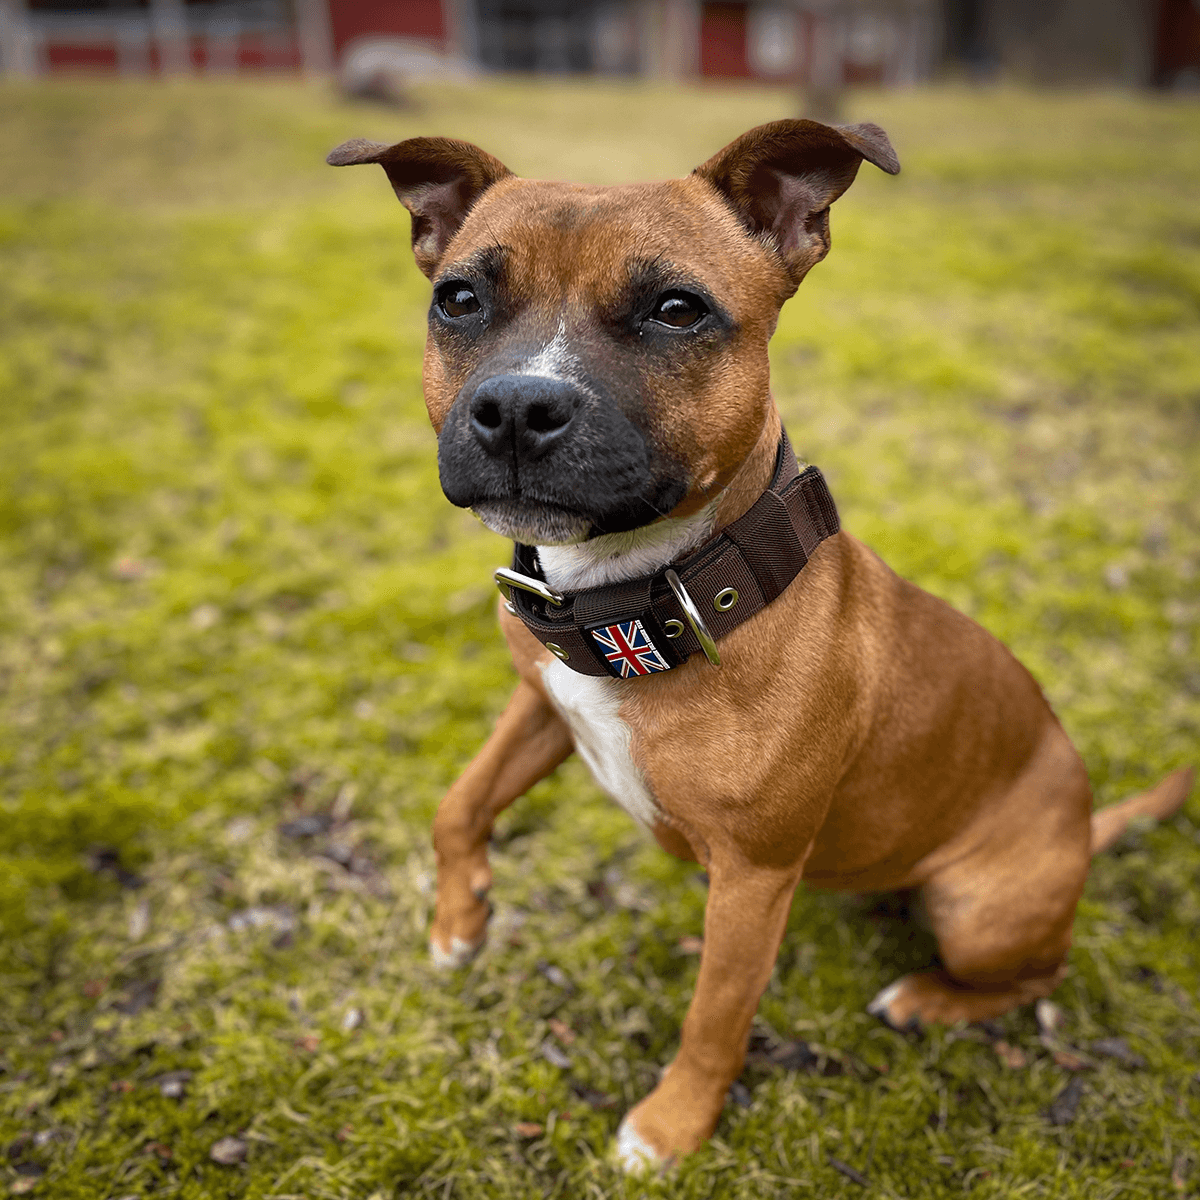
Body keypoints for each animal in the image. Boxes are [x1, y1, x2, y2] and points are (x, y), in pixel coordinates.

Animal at [326, 117, 1190, 1166]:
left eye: (676, 309)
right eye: (458, 299)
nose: (519, 406)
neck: (645, 602)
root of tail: (1082, 827)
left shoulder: (751, 880)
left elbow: (715, 1016)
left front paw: (668, 1129)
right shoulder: (545, 701)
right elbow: (457, 806)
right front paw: (460, 921)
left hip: (982, 913)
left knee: (1037, 975)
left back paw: (927, 999)